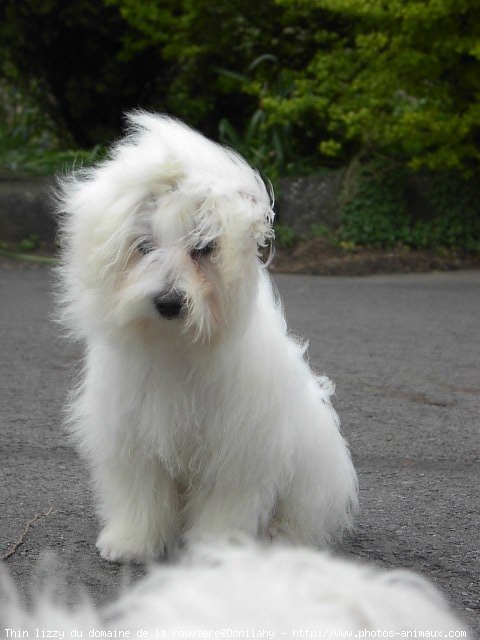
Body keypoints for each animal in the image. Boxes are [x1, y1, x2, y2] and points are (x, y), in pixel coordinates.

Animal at [55, 112, 356, 564]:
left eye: (203, 247)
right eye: (144, 246)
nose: (168, 301)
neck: (177, 344)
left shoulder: (236, 450)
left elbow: (224, 505)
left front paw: (218, 552)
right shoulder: (136, 439)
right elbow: (141, 495)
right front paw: (131, 542)